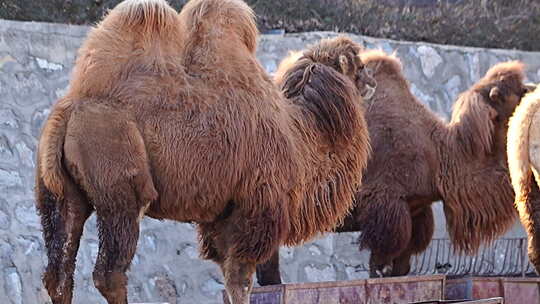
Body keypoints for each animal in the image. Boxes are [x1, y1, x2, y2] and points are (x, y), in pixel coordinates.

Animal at [34, 0, 372, 302]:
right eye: (358, 64)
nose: (371, 82)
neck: (301, 133)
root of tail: (67, 112)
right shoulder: (253, 208)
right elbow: (240, 281)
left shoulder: (221, 215)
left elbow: (228, 276)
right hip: (121, 189)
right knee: (109, 272)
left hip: (62, 194)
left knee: (58, 273)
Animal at [256, 48, 528, 284]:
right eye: (517, 93)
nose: (533, 89)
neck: (439, 154)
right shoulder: (387, 203)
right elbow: (382, 262)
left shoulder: (416, 210)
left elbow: (402, 265)